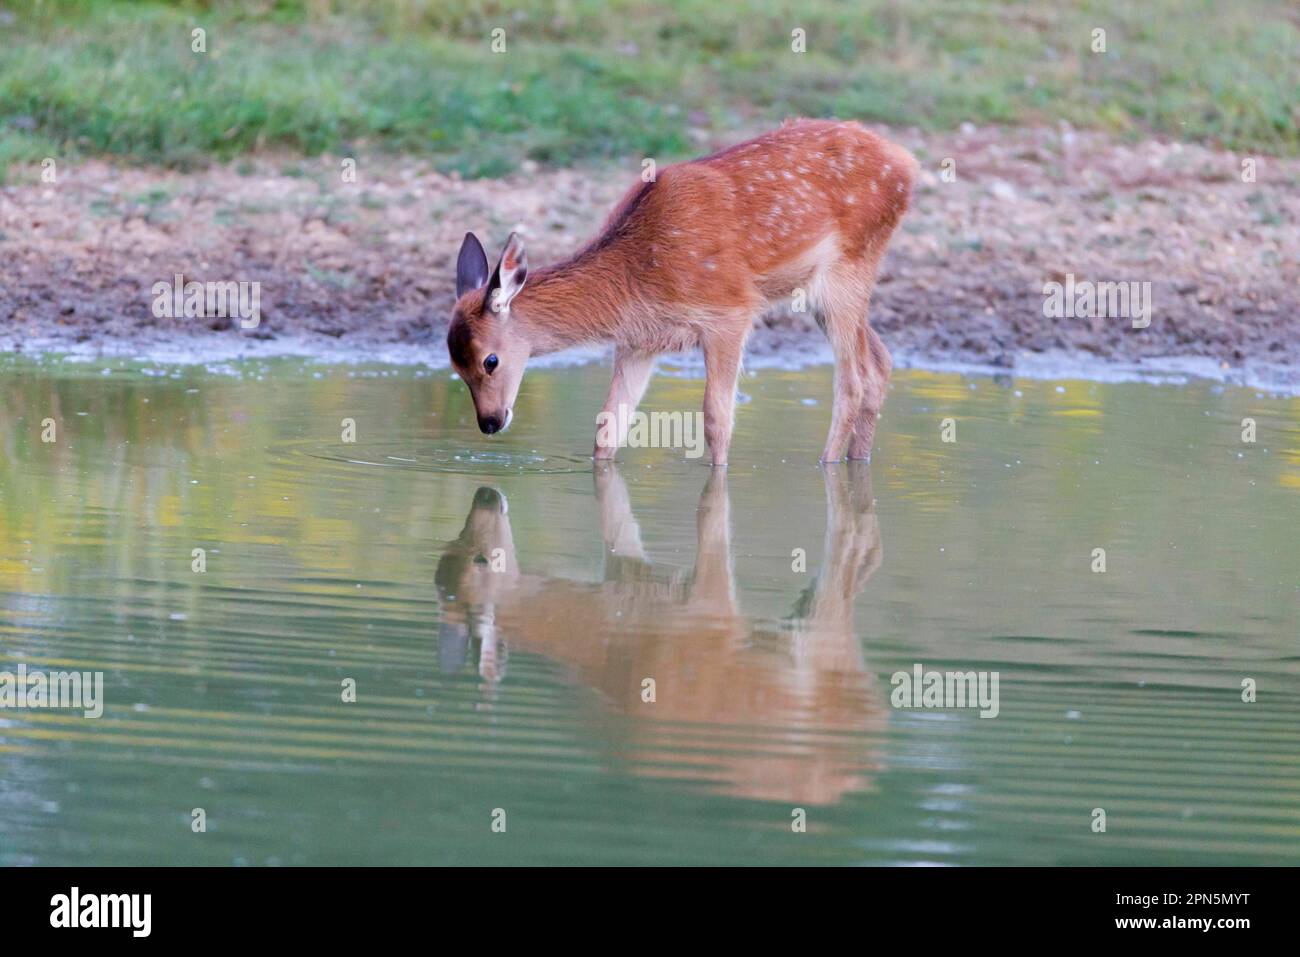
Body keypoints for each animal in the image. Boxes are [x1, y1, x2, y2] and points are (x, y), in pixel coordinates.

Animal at [444, 119, 915, 462]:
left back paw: (827, 466)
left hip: (847, 269)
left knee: (852, 381)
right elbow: (609, 425)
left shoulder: (730, 311)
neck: (635, 275)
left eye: (490, 360)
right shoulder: (639, 342)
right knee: (880, 362)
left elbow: (717, 419)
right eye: (454, 365)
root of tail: (907, 164)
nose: (489, 422)